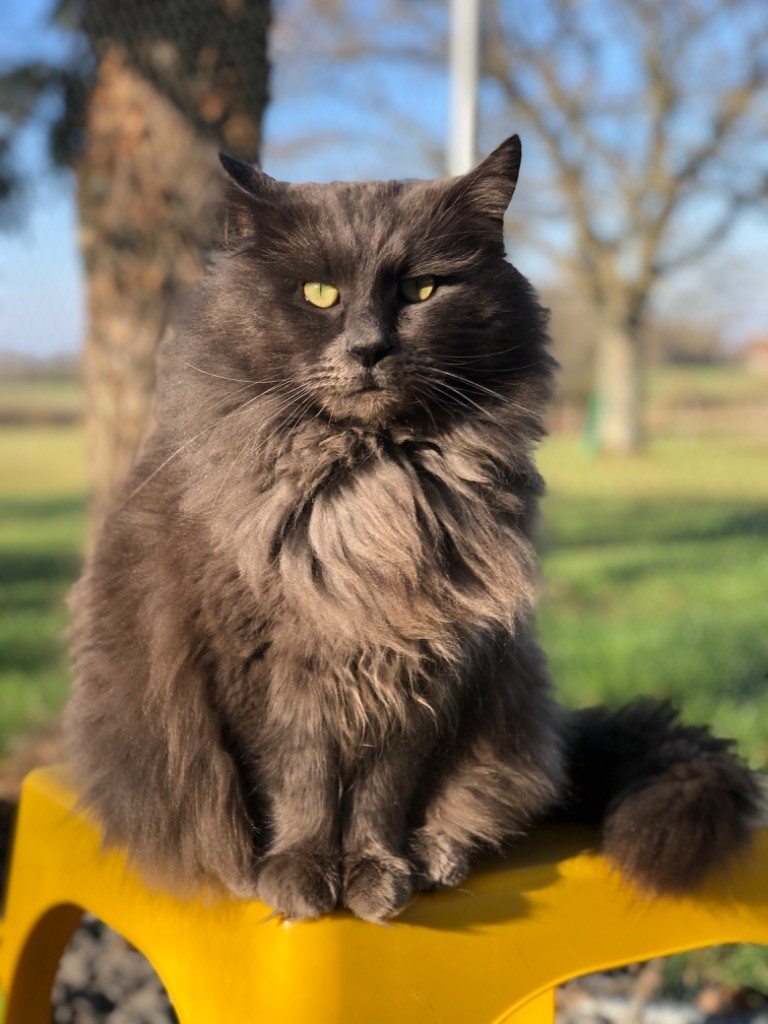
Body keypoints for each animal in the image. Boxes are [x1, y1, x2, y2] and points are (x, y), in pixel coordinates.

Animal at [67, 132, 765, 925]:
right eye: (319, 294)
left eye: (422, 291)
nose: (370, 347)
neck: (373, 491)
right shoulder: (260, 665)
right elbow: (297, 782)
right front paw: (300, 871)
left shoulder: (425, 664)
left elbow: (381, 790)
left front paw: (376, 871)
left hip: (509, 708)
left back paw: (435, 855)